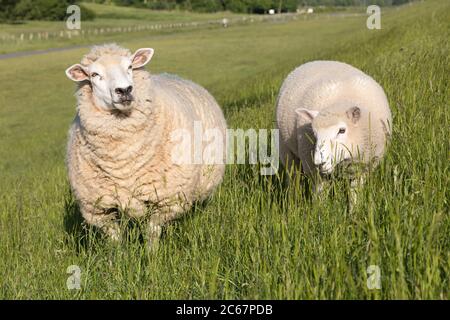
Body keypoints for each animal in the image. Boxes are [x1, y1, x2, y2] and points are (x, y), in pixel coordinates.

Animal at [65, 43, 227, 246]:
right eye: (94, 75)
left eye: (130, 67)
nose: (125, 90)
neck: (123, 160)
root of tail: (173, 75)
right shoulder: (100, 209)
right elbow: (115, 239)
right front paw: (118, 254)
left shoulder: (166, 200)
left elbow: (152, 232)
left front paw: (151, 254)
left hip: (207, 182)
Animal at [274, 60, 390, 205]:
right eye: (314, 133)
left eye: (342, 130)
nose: (319, 162)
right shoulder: (315, 172)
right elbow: (320, 197)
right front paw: (320, 210)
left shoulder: (362, 168)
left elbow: (354, 195)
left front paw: (354, 210)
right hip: (286, 151)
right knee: (293, 178)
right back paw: (292, 201)